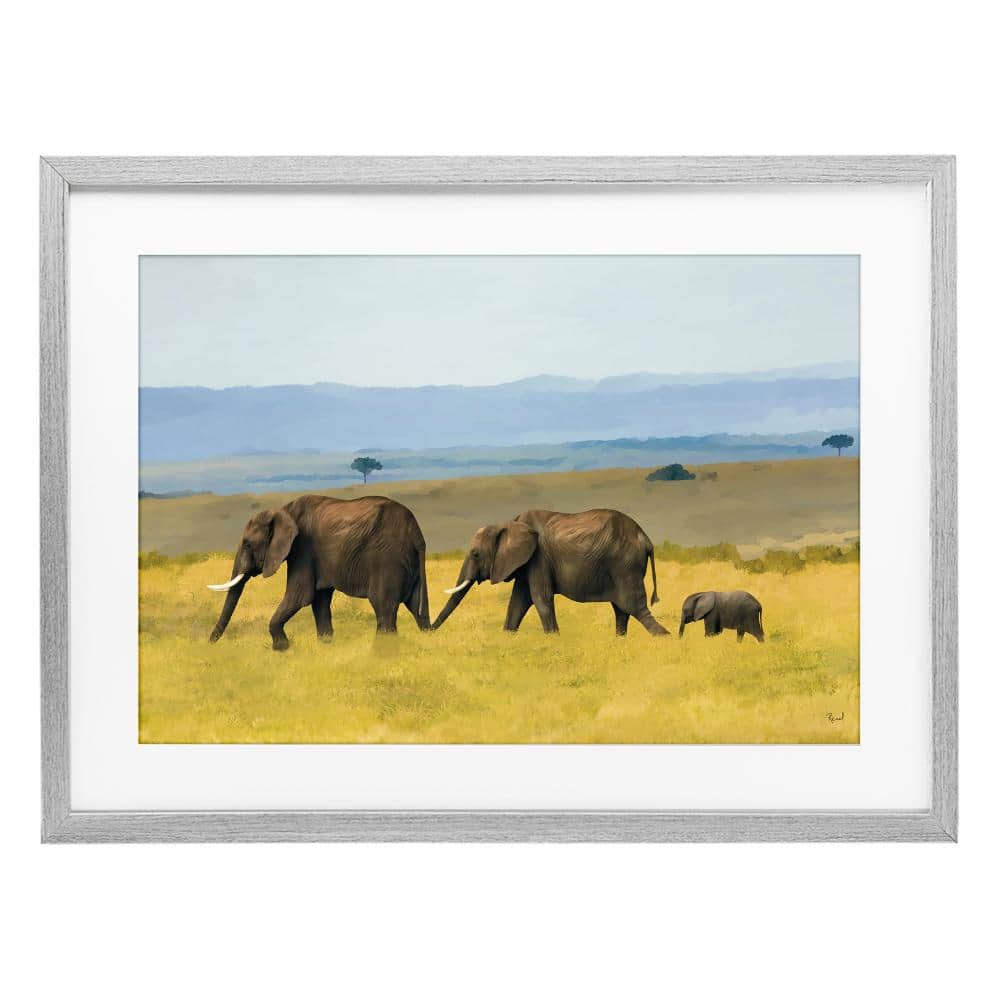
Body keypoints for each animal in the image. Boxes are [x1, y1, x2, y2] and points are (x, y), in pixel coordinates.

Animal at [208, 494, 429, 650]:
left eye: (247, 544)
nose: (209, 643)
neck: (283, 510)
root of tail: (416, 534)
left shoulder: (302, 548)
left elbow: (300, 595)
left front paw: (282, 648)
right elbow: (319, 600)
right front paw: (325, 645)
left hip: (387, 559)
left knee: (383, 607)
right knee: (417, 607)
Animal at [431, 508, 668, 636]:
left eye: (475, 554)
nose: (428, 630)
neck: (509, 523)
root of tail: (646, 539)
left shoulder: (539, 559)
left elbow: (540, 599)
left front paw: (554, 638)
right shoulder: (526, 564)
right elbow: (517, 602)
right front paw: (507, 636)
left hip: (625, 566)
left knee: (634, 607)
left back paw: (665, 638)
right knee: (622, 610)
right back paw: (619, 640)